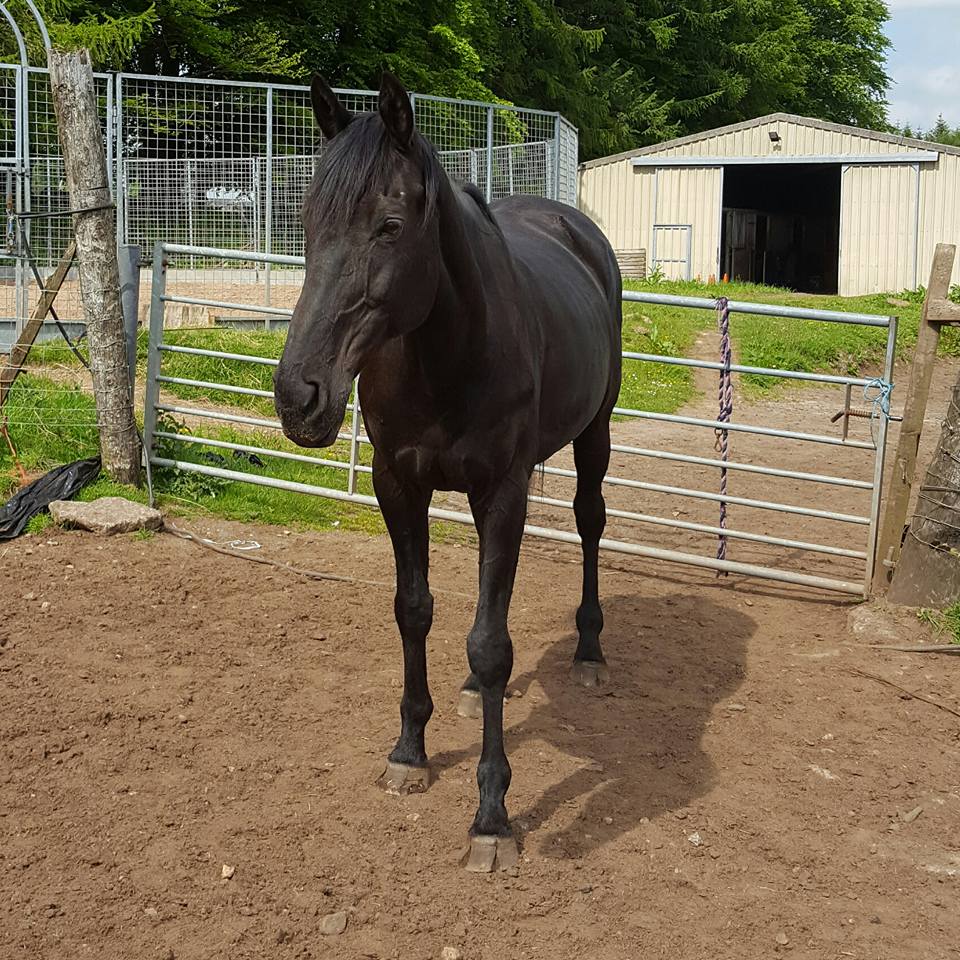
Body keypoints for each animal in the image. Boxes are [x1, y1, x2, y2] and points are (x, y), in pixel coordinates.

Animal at [276, 73, 624, 872]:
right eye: (307, 220)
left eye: (389, 226)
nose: (298, 397)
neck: (449, 348)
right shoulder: (397, 486)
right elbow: (416, 611)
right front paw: (409, 751)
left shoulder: (505, 493)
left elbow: (492, 643)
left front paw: (491, 817)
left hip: (595, 432)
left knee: (591, 525)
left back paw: (590, 651)